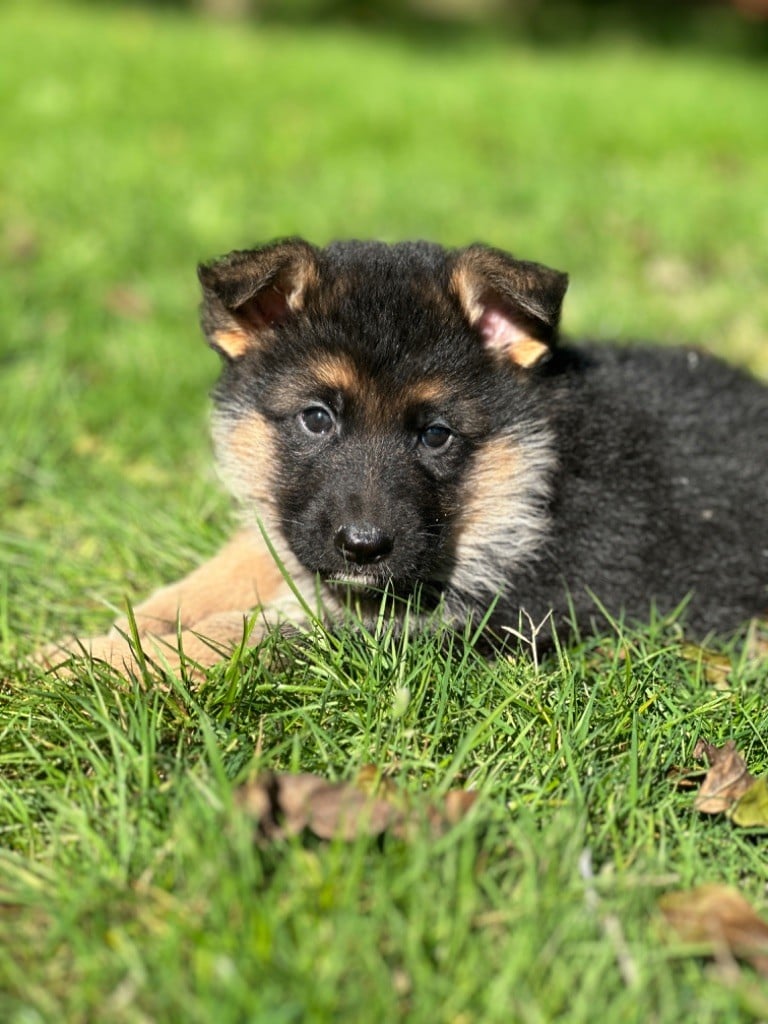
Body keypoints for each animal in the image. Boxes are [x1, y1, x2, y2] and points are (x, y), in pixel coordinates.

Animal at [43, 235, 768, 675]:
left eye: (437, 434)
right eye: (316, 418)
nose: (364, 548)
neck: (525, 478)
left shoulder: (443, 623)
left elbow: (246, 630)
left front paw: (85, 667)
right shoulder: (300, 530)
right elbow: (219, 574)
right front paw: (107, 637)